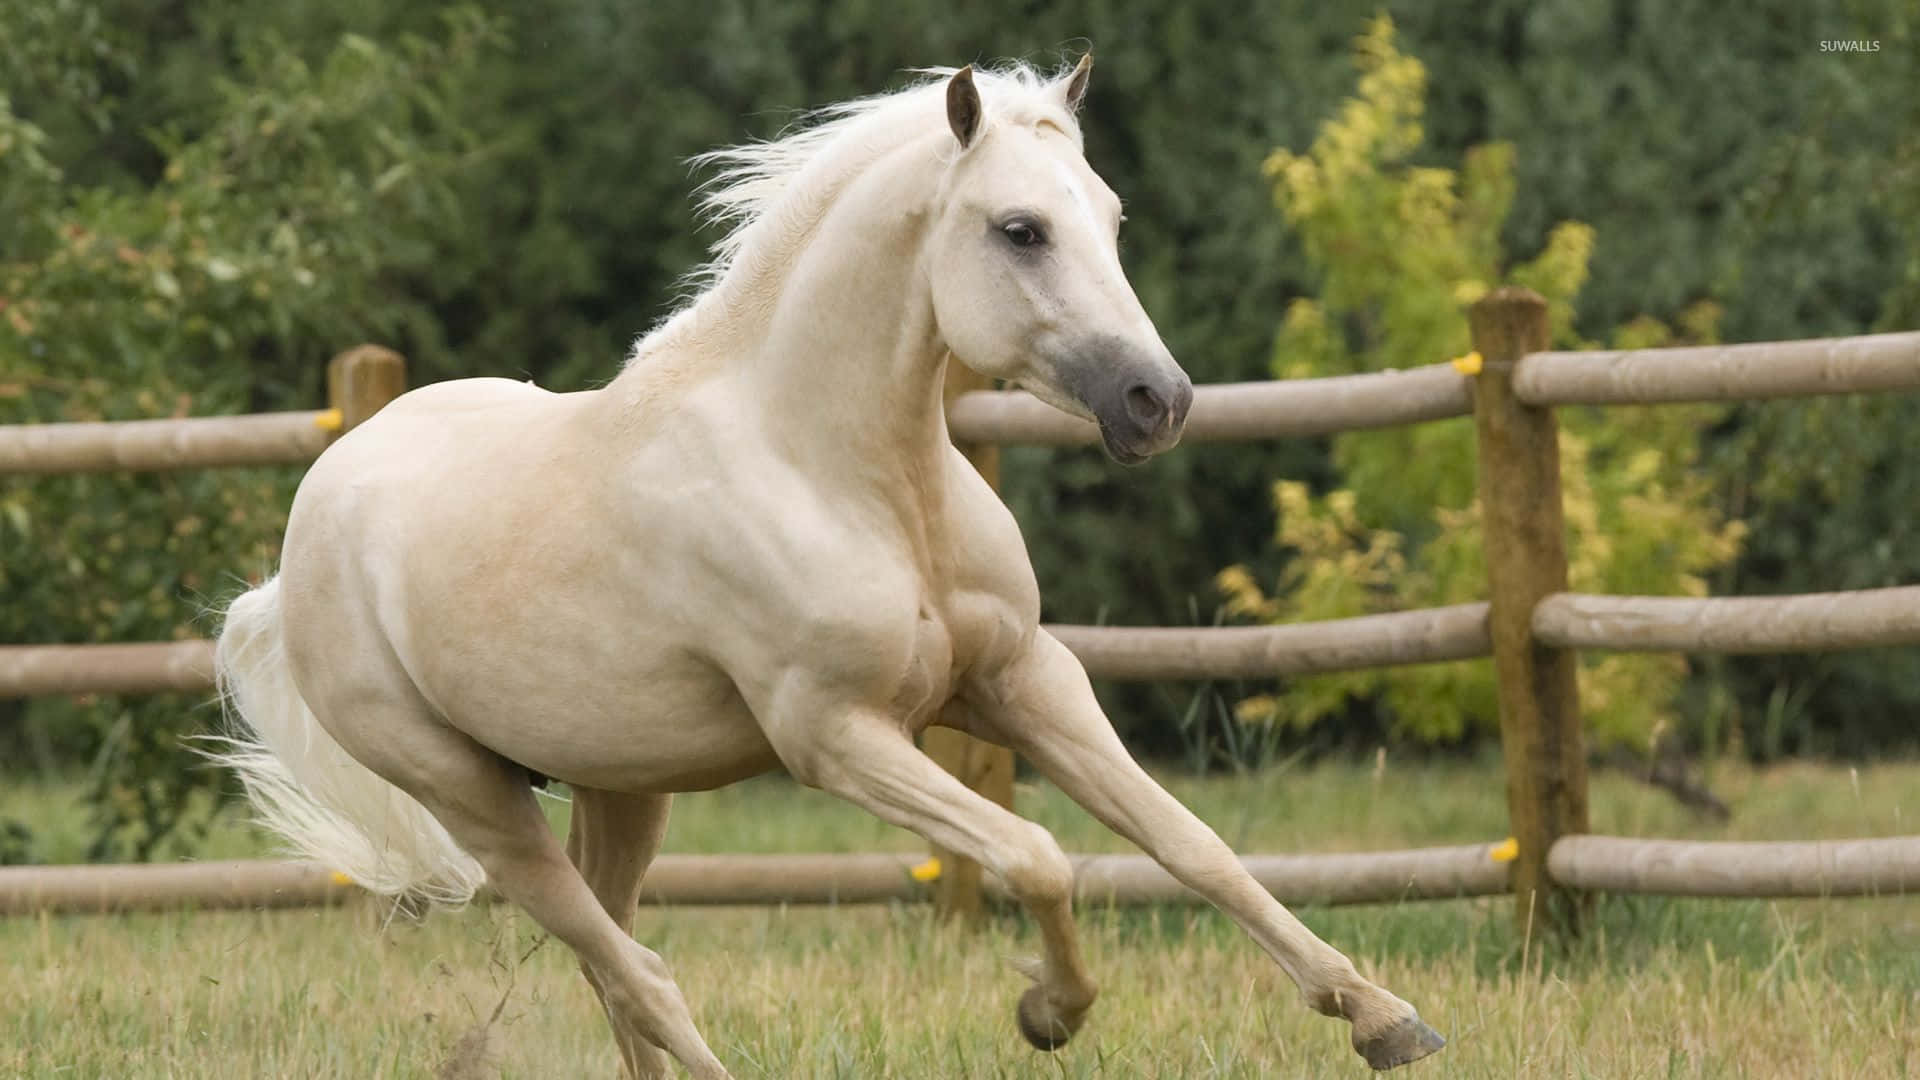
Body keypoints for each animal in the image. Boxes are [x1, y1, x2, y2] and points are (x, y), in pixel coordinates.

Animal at [213, 57, 1445, 1076]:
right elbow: (1038, 854)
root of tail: (302, 541)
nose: (1158, 402)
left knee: (612, 962)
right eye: (1020, 230)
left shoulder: (1024, 681)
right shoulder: (836, 736)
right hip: (470, 797)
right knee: (636, 972)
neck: (846, 477)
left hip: (622, 785)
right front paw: (1049, 1013)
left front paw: (1384, 1018)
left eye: (1109, 217)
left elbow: (1195, 846)